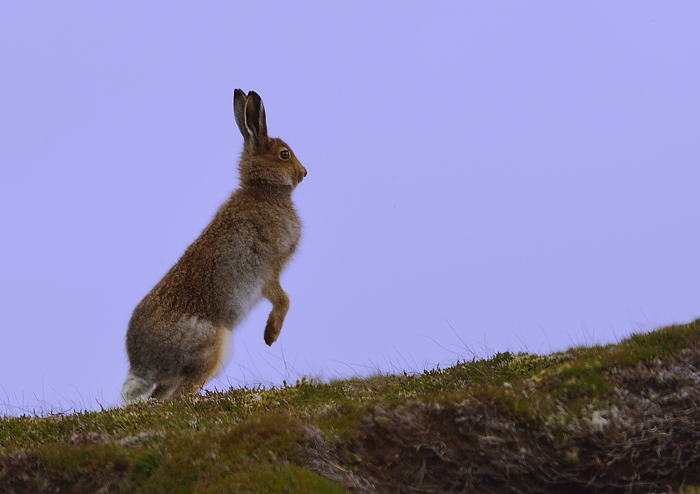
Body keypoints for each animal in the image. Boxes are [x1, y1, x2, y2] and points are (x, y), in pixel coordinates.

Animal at [121, 89, 307, 403]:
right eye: (284, 154)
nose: (304, 172)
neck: (263, 190)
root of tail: (142, 363)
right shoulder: (268, 270)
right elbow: (284, 299)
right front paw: (270, 337)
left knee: (162, 396)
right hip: (214, 347)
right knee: (183, 393)